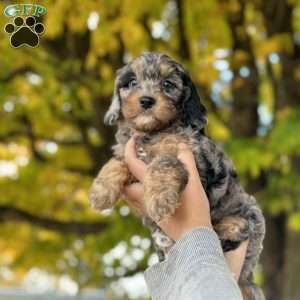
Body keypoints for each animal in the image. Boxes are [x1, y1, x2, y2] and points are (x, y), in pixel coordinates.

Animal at [89, 52, 264, 300]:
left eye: (167, 85)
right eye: (131, 83)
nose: (146, 101)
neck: (153, 132)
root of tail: (246, 278)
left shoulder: (191, 156)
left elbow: (163, 162)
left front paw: (159, 198)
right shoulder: (129, 151)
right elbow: (117, 162)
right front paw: (101, 191)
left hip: (251, 212)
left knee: (241, 229)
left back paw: (226, 227)